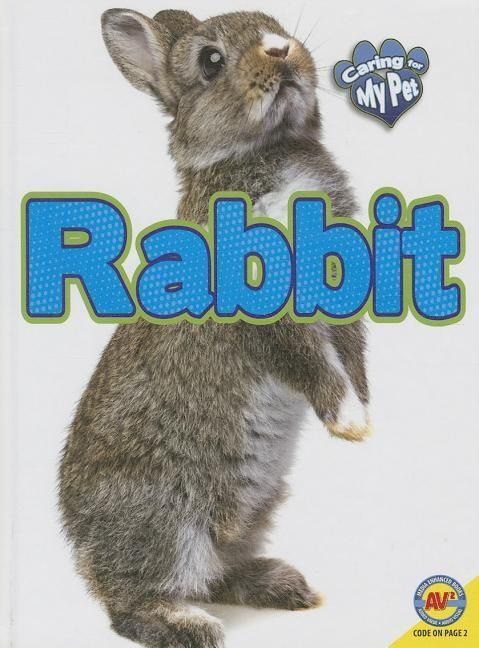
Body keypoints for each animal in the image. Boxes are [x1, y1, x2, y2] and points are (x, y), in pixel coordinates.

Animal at [58, 9, 370, 648]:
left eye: (275, 23)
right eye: (210, 61)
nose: (281, 50)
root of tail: (79, 543)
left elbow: (351, 353)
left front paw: (366, 412)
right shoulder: (267, 308)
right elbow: (311, 361)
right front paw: (351, 423)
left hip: (256, 507)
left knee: (218, 571)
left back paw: (284, 586)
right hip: (166, 521)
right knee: (132, 604)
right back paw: (188, 623)